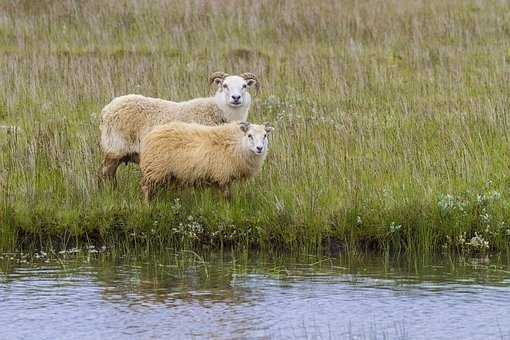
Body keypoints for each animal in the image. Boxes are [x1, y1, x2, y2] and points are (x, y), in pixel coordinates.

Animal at [98, 71, 258, 182]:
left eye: (244, 86)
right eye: (225, 86)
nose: (236, 98)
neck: (218, 110)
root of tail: (107, 110)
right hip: (115, 147)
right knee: (105, 173)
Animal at [139, 120, 272, 202]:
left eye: (265, 135)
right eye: (249, 135)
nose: (259, 148)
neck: (237, 144)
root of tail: (150, 134)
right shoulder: (222, 175)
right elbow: (226, 196)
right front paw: (226, 208)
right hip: (155, 169)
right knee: (145, 188)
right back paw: (147, 205)